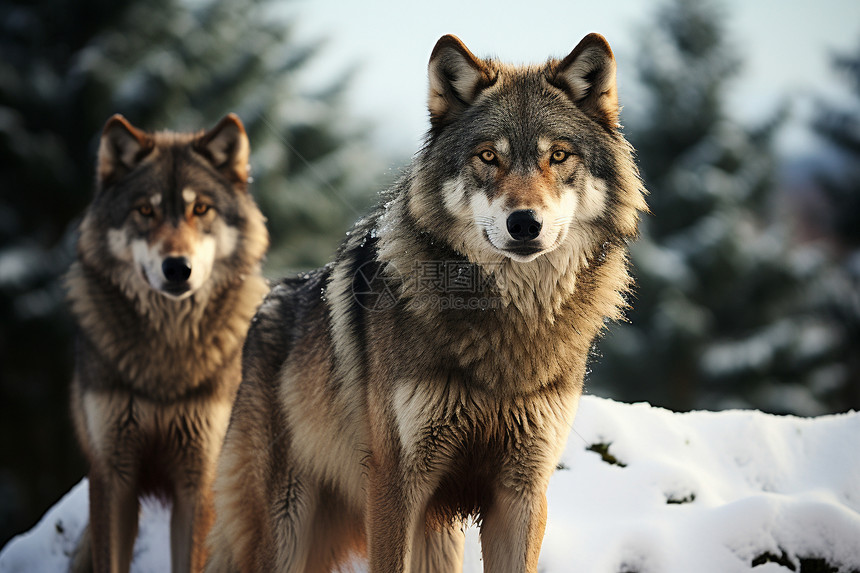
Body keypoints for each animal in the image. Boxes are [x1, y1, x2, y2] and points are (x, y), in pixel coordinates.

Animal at [66, 114, 268, 568]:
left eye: (200, 208)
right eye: (146, 210)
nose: (177, 268)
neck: (168, 348)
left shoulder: (198, 477)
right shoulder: (113, 476)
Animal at [205, 32, 640, 572]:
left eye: (558, 156)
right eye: (488, 156)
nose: (524, 223)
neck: (508, 322)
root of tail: (268, 301)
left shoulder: (522, 491)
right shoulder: (395, 481)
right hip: (283, 531)